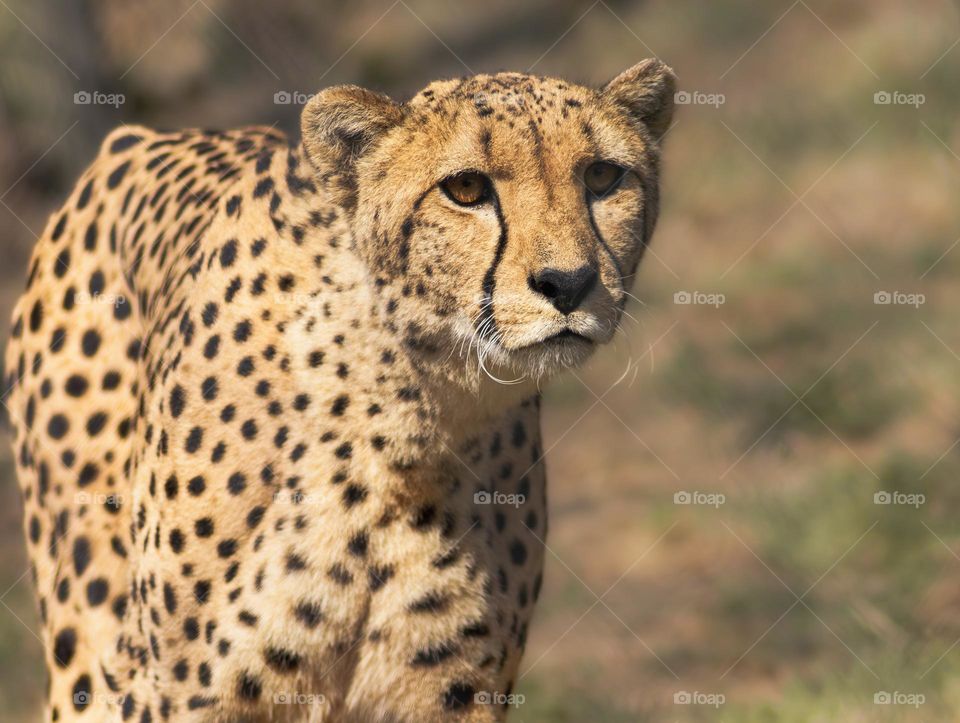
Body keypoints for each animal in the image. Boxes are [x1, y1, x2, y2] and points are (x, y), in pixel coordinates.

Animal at [3, 59, 676, 720]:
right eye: (466, 189)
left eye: (603, 176)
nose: (568, 283)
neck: (410, 420)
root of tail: (139, 138)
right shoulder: (175, 693)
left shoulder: (452, 694)